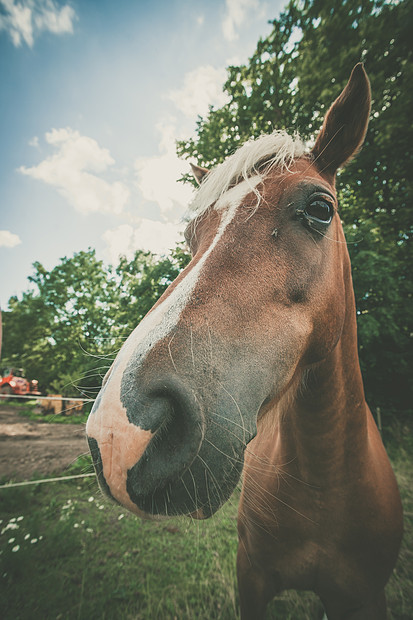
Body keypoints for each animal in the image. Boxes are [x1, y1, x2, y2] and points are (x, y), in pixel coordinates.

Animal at [85, 65, 400, 616]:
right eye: (191, 237)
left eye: (321, 209)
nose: (118, 433)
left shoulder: (363, 596)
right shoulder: (249, 578)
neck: (325, 483)